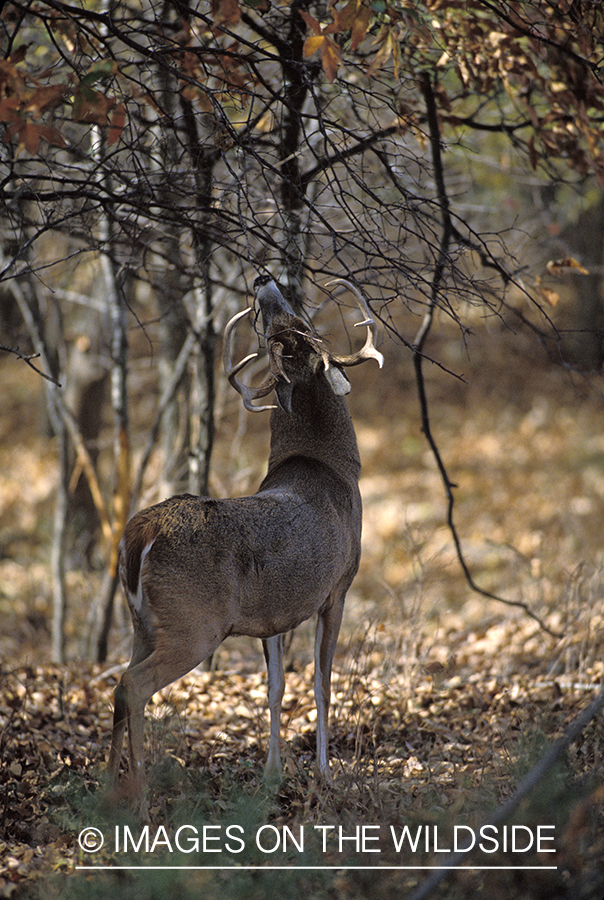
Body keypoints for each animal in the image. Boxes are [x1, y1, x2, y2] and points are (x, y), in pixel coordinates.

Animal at [107, 274, 382, 816]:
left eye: (294, 321)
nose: (262, 279)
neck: (331, 466)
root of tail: (140, 534)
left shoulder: (274, 613)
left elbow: (275, 687)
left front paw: (273, 775)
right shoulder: (338, 587)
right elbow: (322, 684)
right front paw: (324, 775)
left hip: (141, 623)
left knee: (117, 686)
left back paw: (100, 791)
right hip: (194, 625)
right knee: (132, 686)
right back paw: (142, 801)